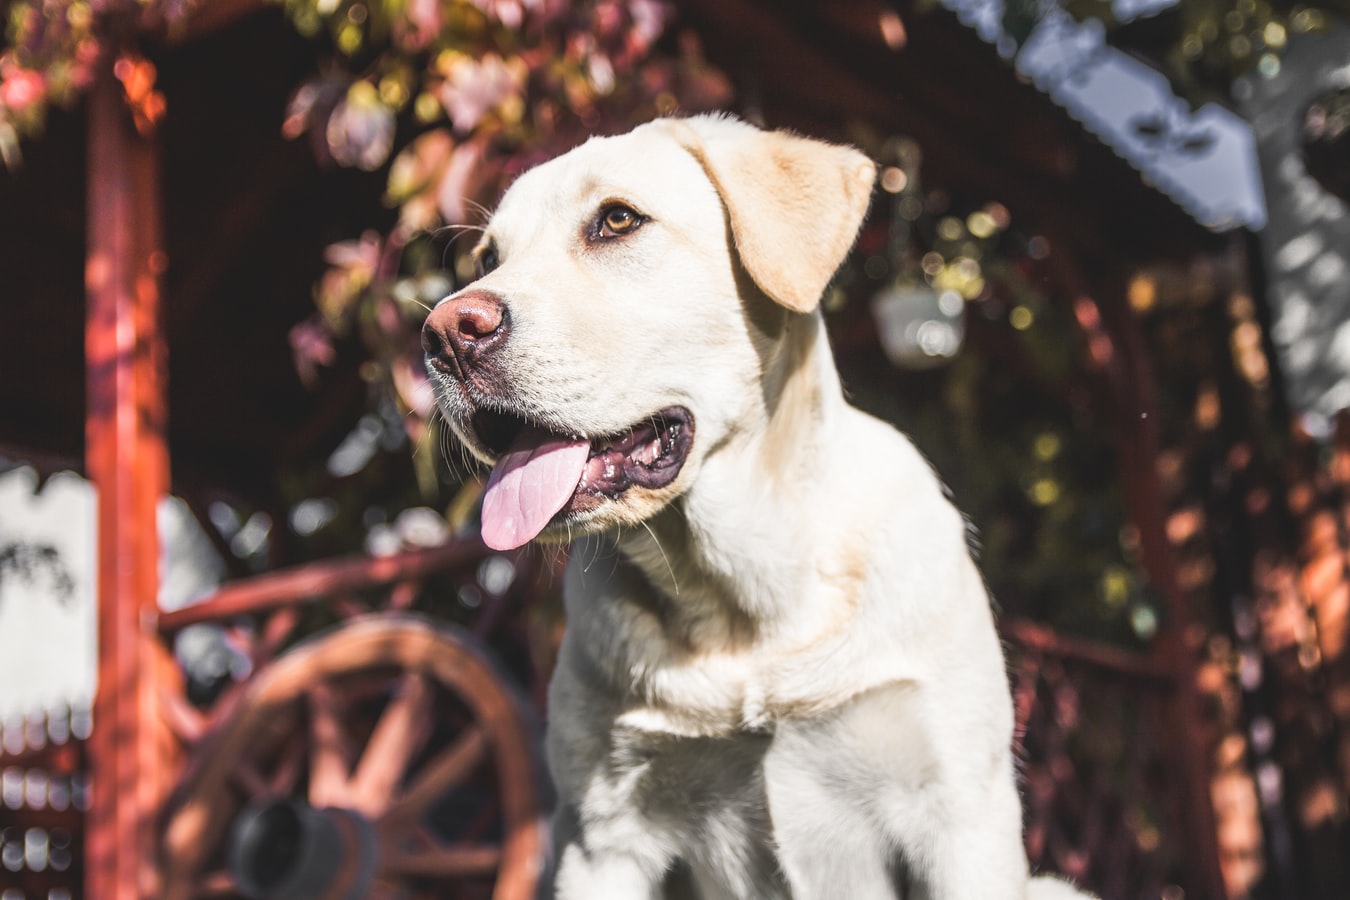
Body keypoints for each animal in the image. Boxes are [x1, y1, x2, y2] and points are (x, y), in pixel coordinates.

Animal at [421, 116, 1085, 895]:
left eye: (617, 220)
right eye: (489, 258)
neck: (745, 607)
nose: (444, 333)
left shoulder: (961, 819)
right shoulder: (601, 838)